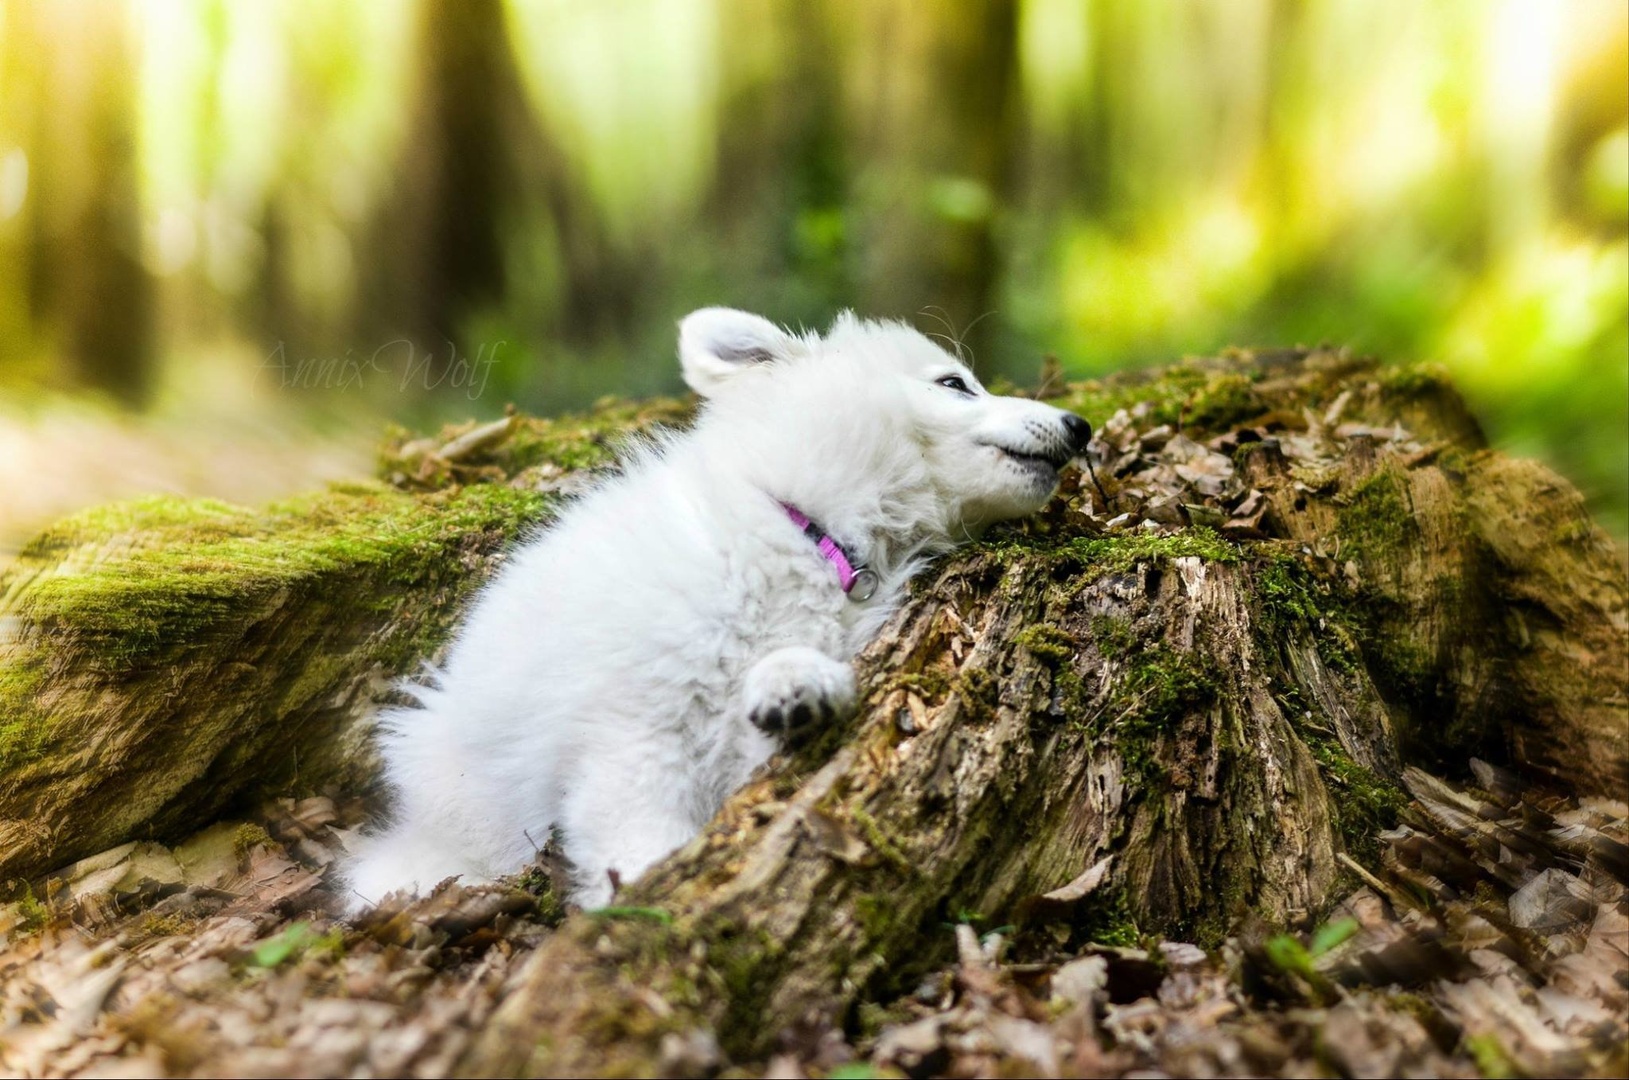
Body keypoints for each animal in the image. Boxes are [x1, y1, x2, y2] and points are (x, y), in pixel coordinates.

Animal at [341, 308, 1091, 909]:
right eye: (953, 384)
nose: (1079, 425)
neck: (808, 528)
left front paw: (794, 685)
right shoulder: (630, 729)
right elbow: (633, 824)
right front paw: (643, 889)